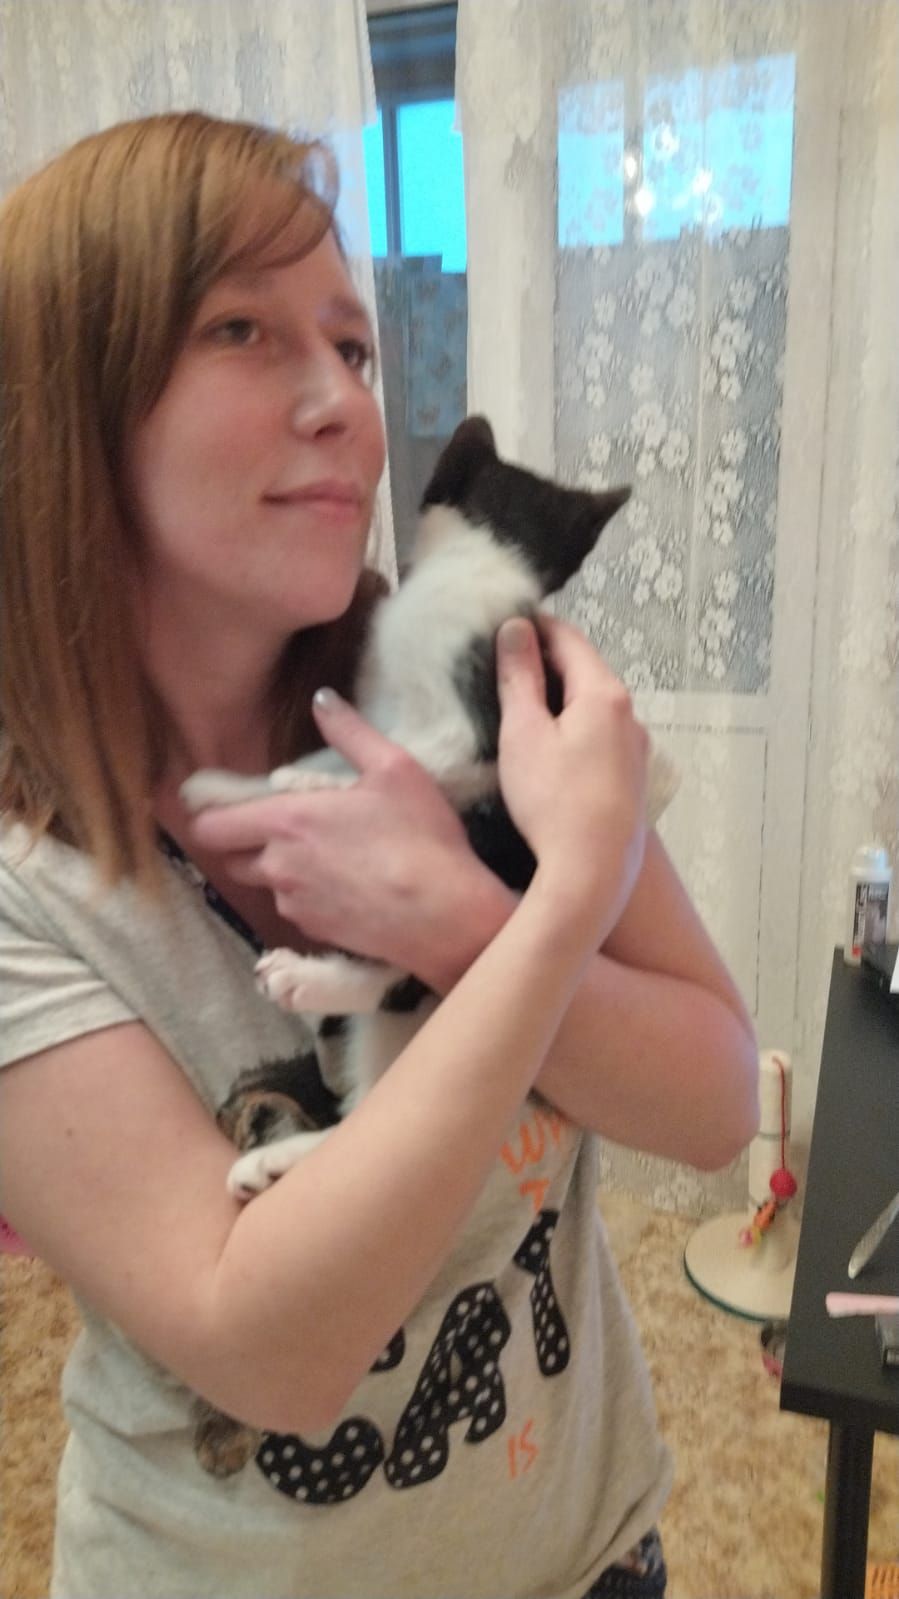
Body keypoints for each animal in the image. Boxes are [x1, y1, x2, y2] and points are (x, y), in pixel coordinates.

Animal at [180, 416, 630, 1475]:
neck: (488, 566)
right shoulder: (385, 710)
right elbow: (331, 744)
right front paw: (239, 784)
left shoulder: (468, 736)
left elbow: (376, 768)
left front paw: (287, 790)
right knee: (362, 1113)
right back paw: (277, 1158)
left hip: (476, 886)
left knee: (395, 964)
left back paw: (309, 979)